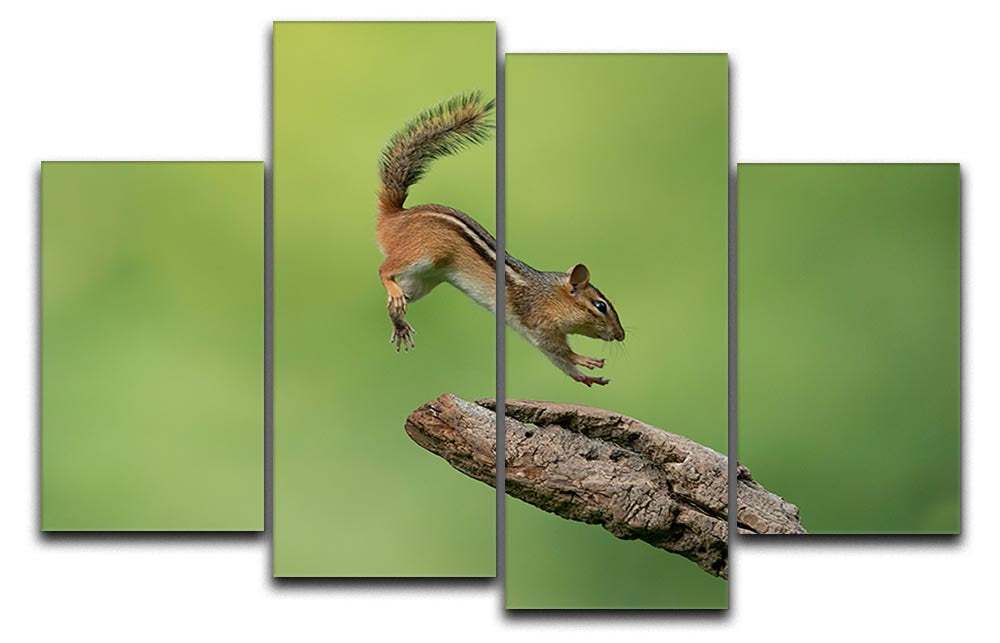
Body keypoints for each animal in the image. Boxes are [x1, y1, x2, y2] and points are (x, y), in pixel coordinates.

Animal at [376, 92, 625, 387]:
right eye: (600, 306)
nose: (621, 335)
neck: (550, 294)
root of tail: (395, 216)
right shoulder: (539, 323)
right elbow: (558, 350)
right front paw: (585, 360)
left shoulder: (538, 333)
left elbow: (558, 360)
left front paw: (586, 377)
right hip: (423, 254)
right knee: (384, 270)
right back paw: (391, 289)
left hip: (421, 282)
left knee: (394, 301)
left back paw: (399, 323)